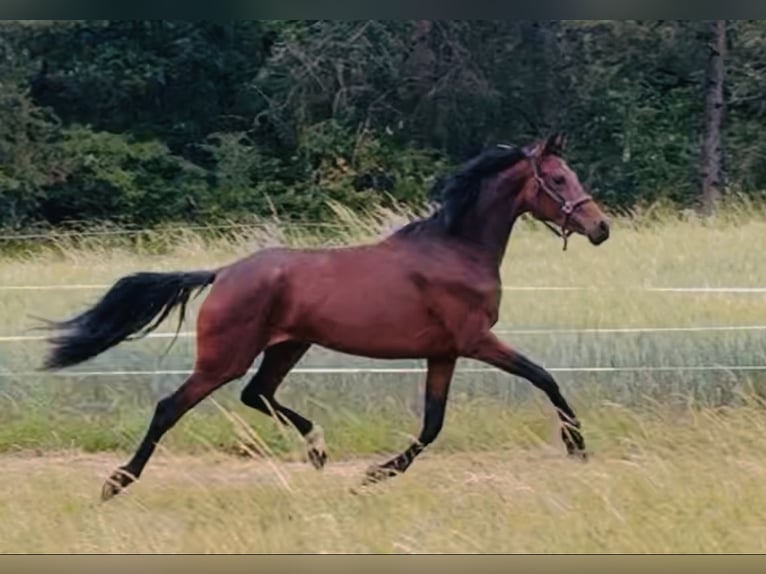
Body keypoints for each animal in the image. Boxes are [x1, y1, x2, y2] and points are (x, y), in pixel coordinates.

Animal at [41, 133, 611, 501]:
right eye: (557, 178)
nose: (600, 228)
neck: (456, 249)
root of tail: (224, 273)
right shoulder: (476, 340)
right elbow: (545, 378)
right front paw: (576, 446)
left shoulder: (443, 353)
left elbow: (432, 425)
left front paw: (376, 475)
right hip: (225, 357)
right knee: (171, 407)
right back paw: (116, 482)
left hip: (288, 345)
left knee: (257, 394)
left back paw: (317, 448)